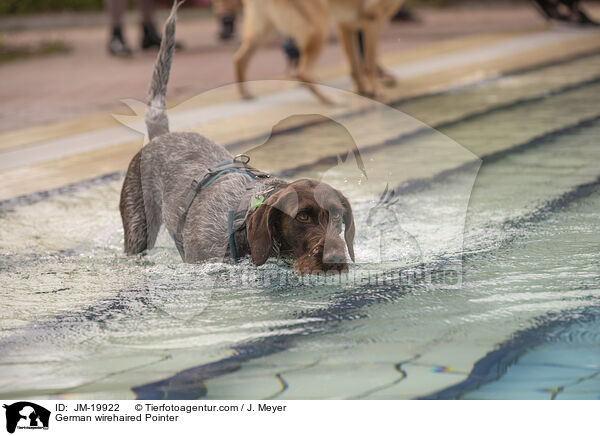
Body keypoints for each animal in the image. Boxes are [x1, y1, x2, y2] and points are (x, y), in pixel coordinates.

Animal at [233, 0, 404, 101]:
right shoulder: (373, 22)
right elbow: (370, 62)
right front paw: (375, 90)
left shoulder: (347, 26)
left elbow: (355, 65)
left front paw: (362, 91)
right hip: (319, 26)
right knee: (303, 72)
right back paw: (332, 101)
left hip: (265, 31)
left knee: (239, 59)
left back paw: (244, 93)